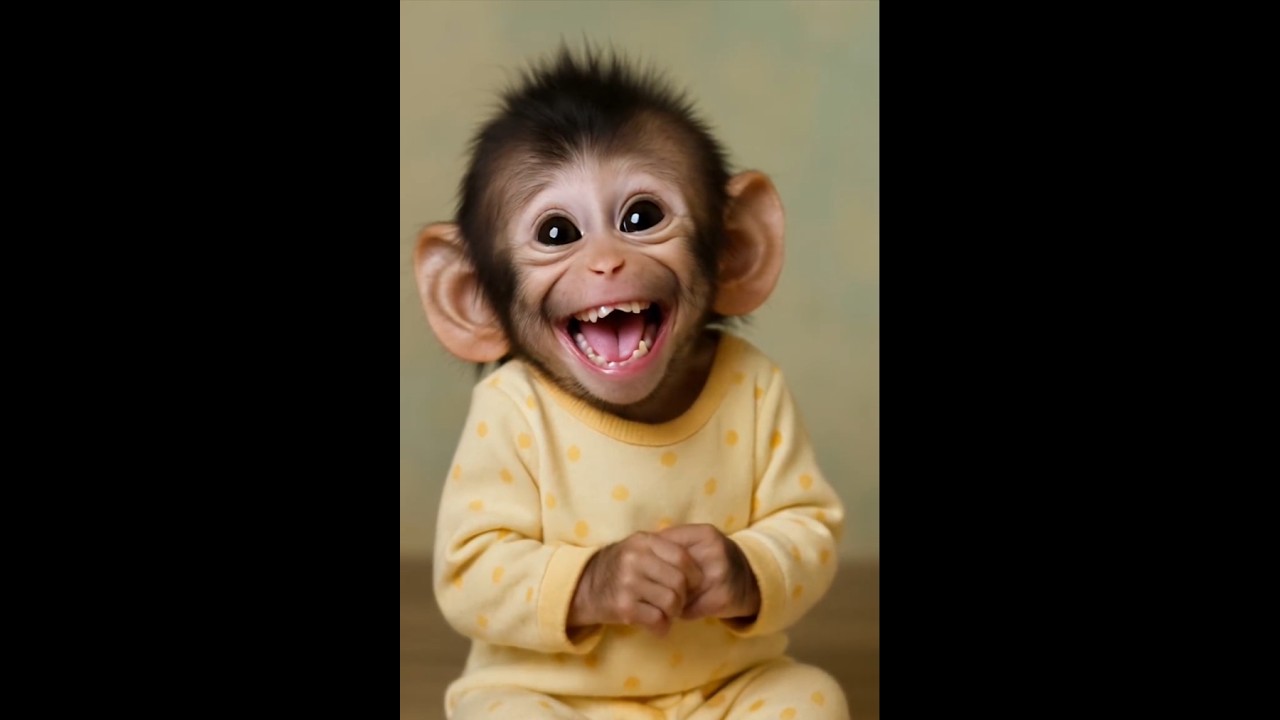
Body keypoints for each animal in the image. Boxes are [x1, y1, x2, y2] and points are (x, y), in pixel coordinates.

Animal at [413, 46, 850, 719]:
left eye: (641, 217)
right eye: (558, 233)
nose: (607, 263)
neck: (636, 417)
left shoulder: (770, 386)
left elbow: (804, 523)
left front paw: (717, 563)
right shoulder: (498, 416)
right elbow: (476, 559)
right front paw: (627, 572)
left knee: (802, 694)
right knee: (515, 703)